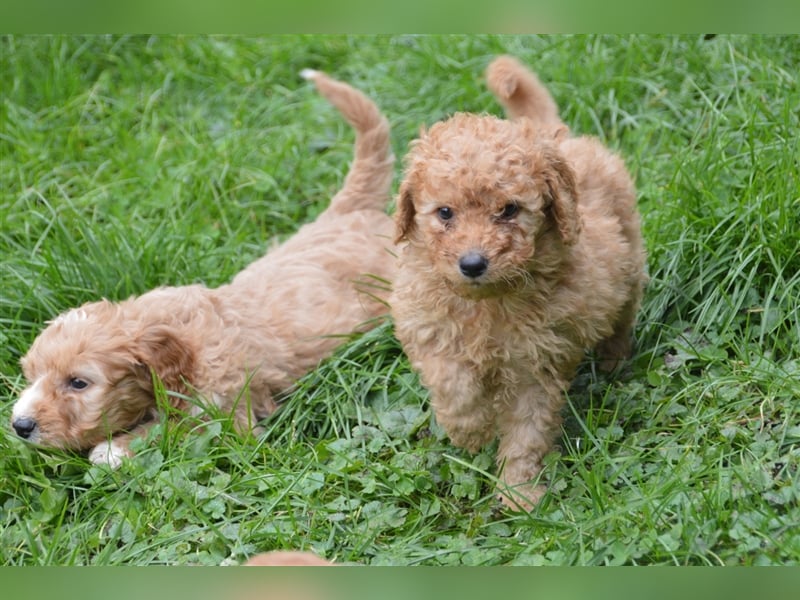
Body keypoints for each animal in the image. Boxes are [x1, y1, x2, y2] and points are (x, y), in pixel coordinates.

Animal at [10, 69, 398, 464]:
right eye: (31, 374)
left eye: (78, 383)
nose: (20, 425)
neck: (180, 336)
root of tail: (351, 209)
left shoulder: (227, 413)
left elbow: (180, 427)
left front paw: (114, 449)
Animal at [390, 56, 648, 508]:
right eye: (445, 213)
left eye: (509, 210)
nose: (472, 263)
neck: (488, 302)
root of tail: (556, 135)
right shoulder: (427, 328)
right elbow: (453, 383)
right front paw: (471, 430)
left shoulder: (537, 363)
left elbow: (528, 430)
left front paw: (520, 494)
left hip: (629, 260)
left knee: (623, 314)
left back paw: (614, 359)